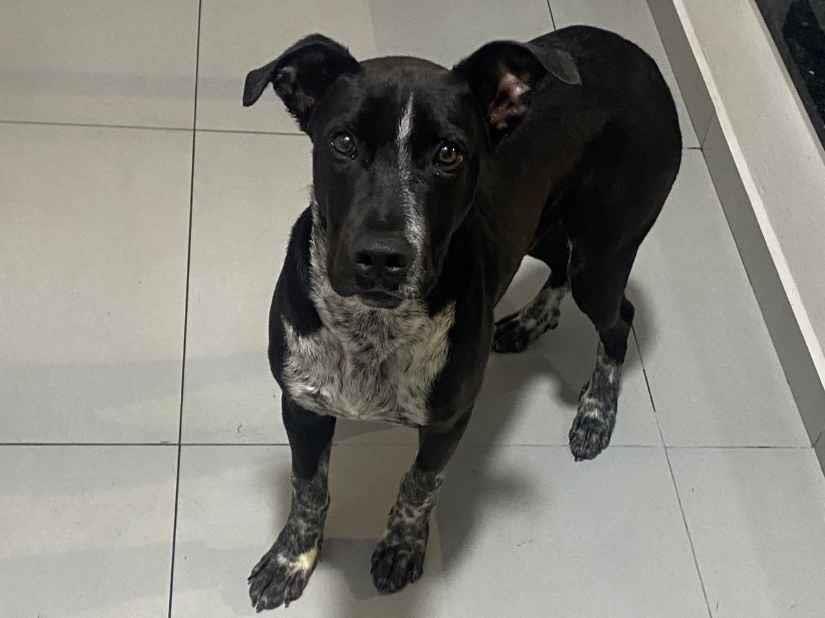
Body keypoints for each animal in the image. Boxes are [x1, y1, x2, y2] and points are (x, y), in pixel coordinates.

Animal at [241, 25, 681, 611]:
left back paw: (595, 413)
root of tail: (640, 56)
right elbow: (309, 489)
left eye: (448, 153)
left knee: (618, 319)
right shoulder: (303, 405)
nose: (381, 258)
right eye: (343, 142)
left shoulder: (450, 420)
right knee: (559, 266)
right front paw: (292, 559)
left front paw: (402, 546)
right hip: (540, 226)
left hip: (604, 252)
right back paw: (528, 322)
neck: (374, 329)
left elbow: (419, 484)